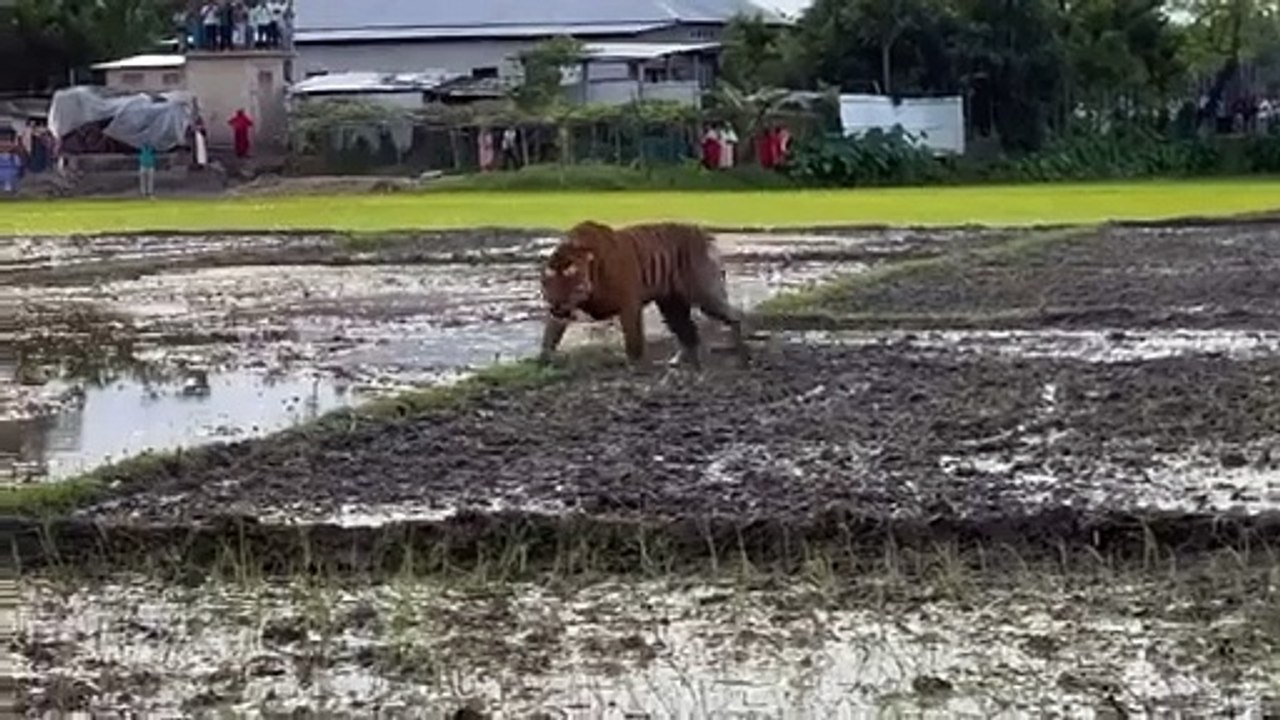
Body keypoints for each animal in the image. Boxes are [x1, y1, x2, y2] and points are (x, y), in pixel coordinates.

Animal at [537, 220, 750, 369]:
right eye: (549, 284)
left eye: (571, 283)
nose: (556, 304)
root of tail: (706, 236)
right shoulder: (558, 315)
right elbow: (549, 338)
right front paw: (542, 362)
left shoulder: (629, 306)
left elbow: (634, 341)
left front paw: (634, 366)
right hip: (672, 306)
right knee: (689, 332)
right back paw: (682, 362)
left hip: (705, 295)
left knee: (735, 316)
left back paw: (742, 358)